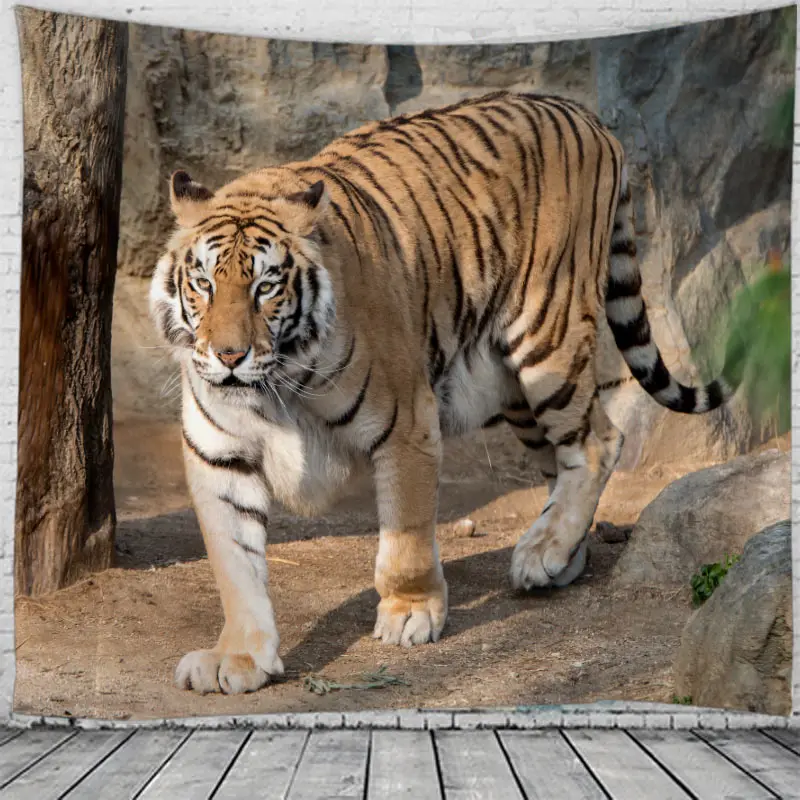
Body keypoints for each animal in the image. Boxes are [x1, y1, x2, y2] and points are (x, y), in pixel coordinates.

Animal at [149, 89, 741, 695]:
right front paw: (240, 656)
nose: (228, 356)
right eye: (203, 284)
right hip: (511, 388)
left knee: (599, 441)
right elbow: (235, 564)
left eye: (266, 286)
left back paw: (543, 551)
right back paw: (555, 555)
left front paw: (410, 614)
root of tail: (581, 112)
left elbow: (406, 539)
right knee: (563, 459)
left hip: (546, 340)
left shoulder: (405, 423)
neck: (275, 385)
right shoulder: (218, 453)